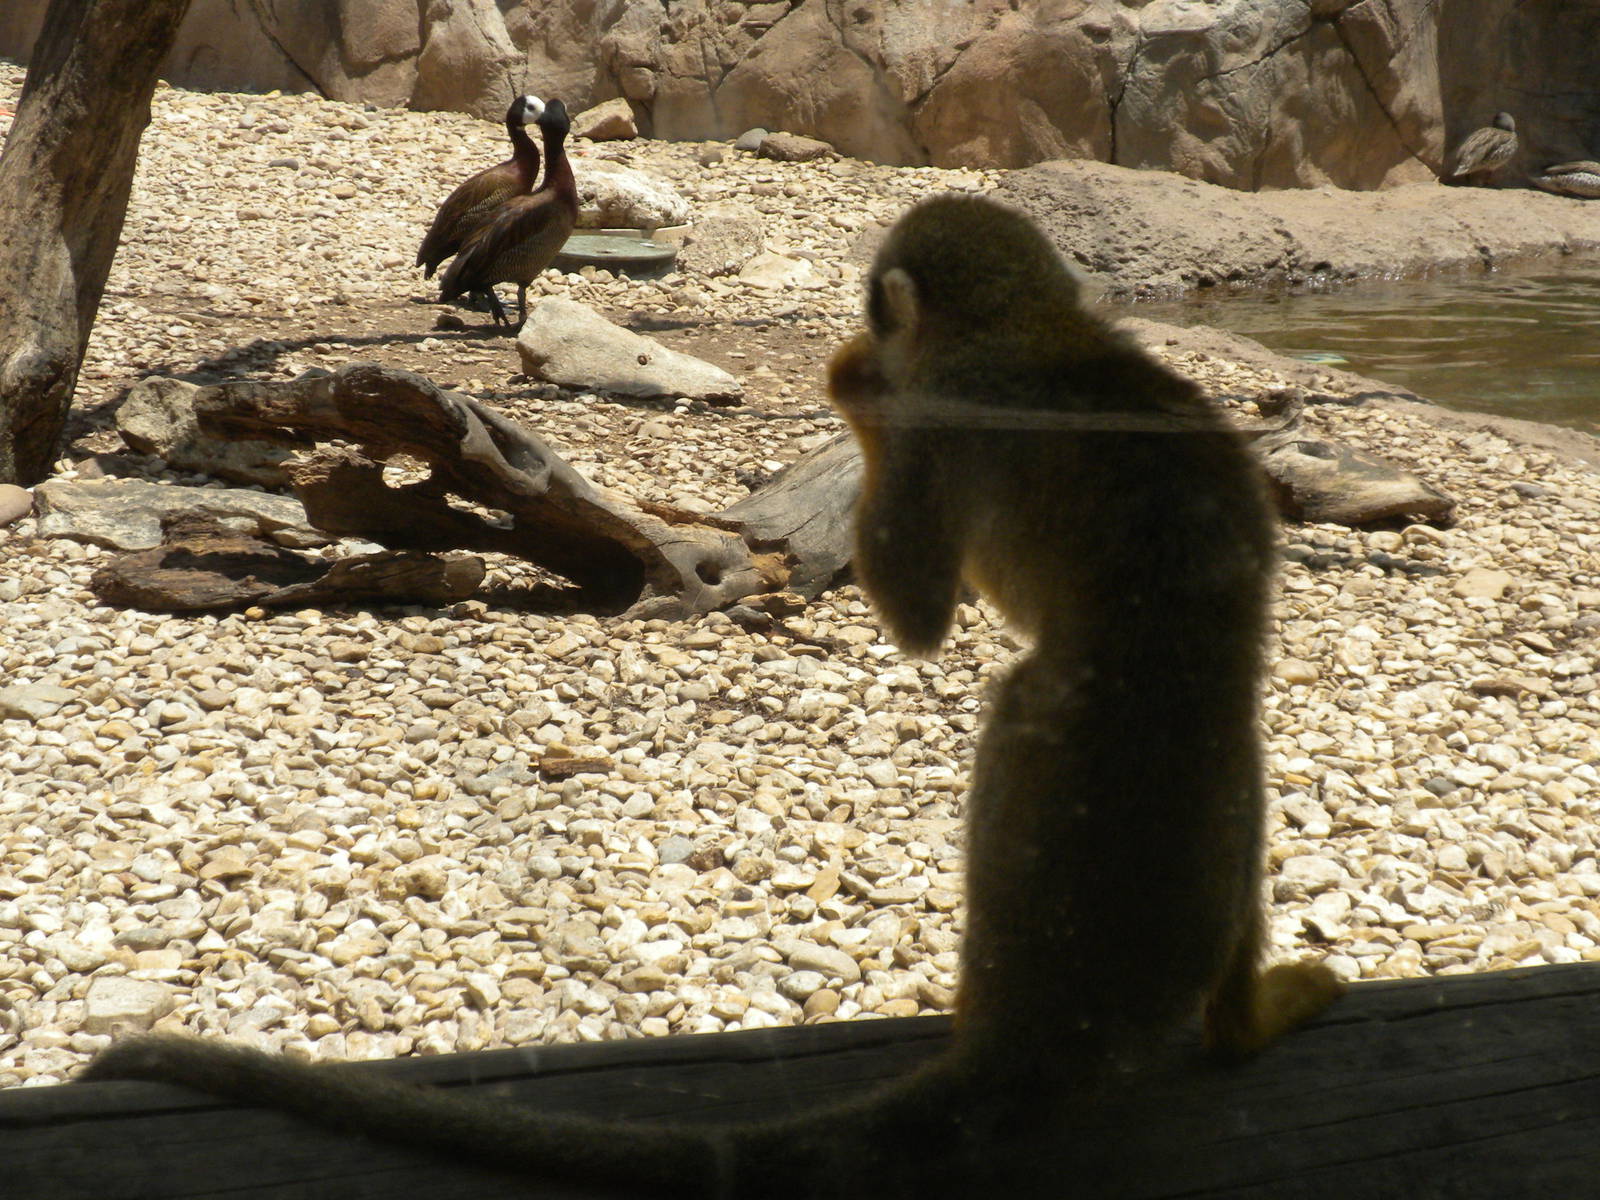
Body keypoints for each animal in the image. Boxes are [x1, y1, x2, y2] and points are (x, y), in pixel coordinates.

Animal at [80, 193, 1343, 1197]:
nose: (866, 336)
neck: (1038, 334)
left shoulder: (943, 417)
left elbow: (922, 614)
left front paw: (854, 382)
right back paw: (1237, 1020)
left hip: (1063, 758)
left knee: (1016, 703)